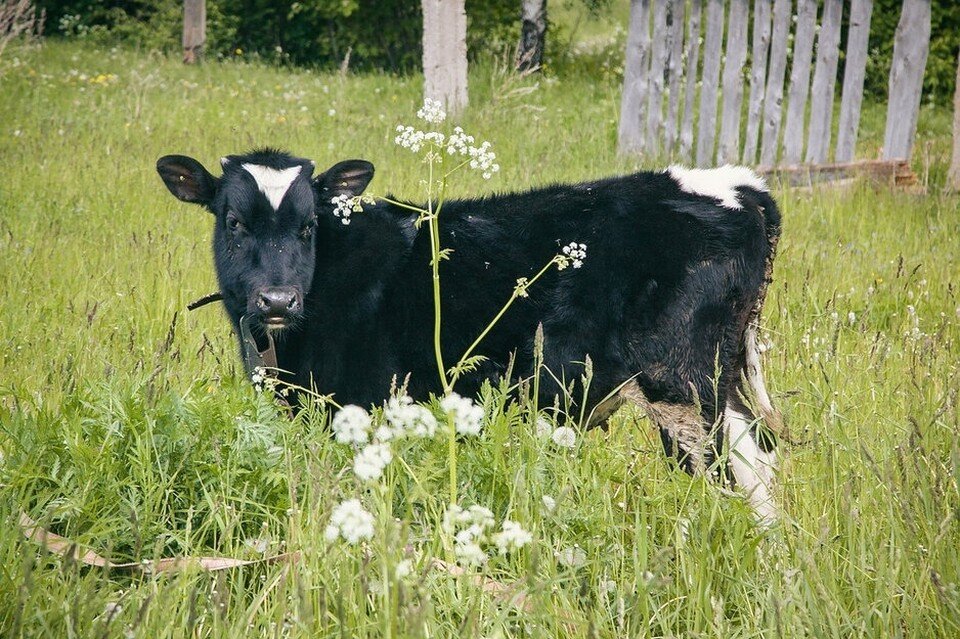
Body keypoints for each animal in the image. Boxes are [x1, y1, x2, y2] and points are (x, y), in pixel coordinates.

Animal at [158, 152, 784, 524]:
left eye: (309, 225)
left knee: (739, 471)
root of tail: (734, 185)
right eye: (232, 222)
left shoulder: (364, 401)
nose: (277, 301)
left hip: (683, 386)